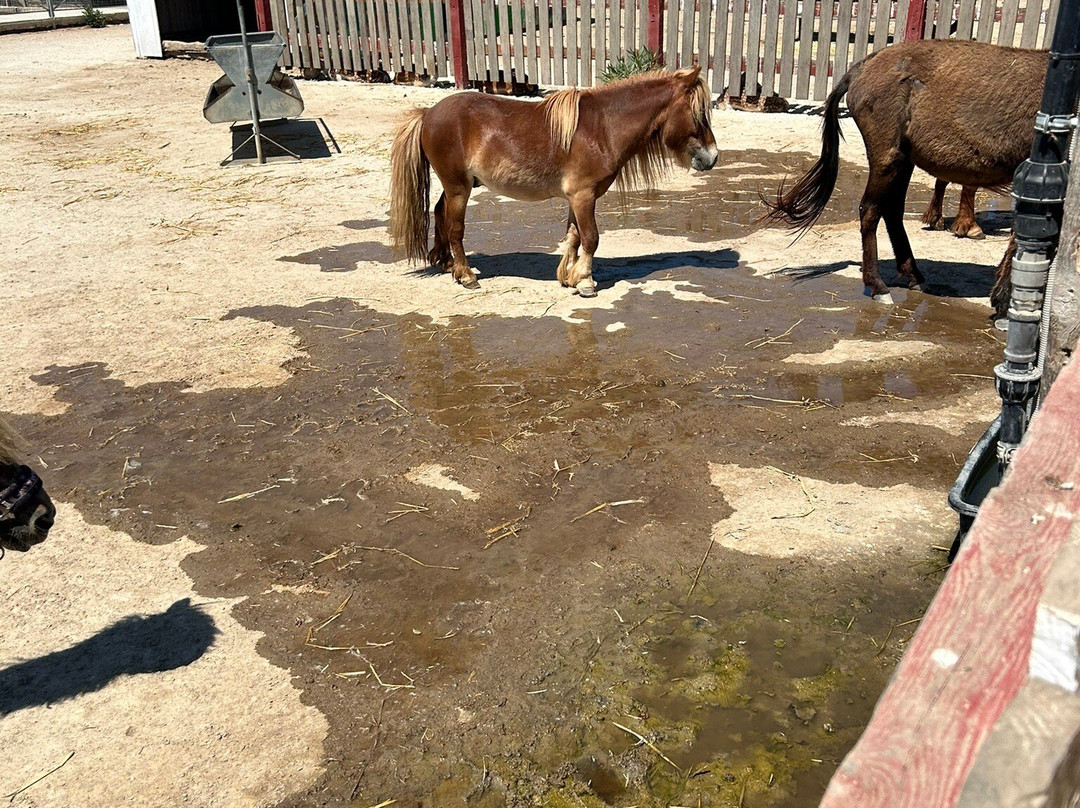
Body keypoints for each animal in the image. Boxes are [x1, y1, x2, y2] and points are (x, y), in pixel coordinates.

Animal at [389, 67, 719, 297]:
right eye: (698, 114)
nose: (712, 157)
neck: (603, 127)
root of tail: (428, 113)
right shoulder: (584, 196)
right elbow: (591, 238)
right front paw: (585, 282)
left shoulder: (577, 198)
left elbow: (574, 237)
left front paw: (569, 276)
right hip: (459, 187)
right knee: (455, 227)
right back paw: (467, 275)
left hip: (456, 186)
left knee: (439, 213)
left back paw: (447, 264)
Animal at [763, 39, 1045, 314]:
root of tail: (861, 68)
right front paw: (1005, 301)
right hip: (887, 156)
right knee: (870, 210)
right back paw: (878, 286)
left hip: (904, 160)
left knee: (892, 210)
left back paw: (913, 275)